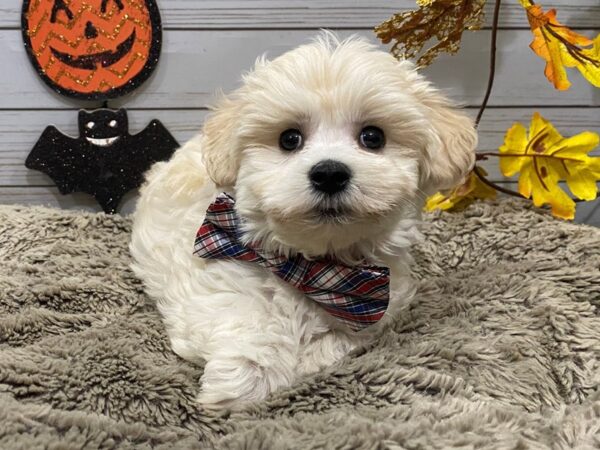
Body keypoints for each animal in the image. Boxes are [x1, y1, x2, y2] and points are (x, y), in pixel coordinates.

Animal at [129, 33, 476, 410]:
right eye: (289, 139)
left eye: (373, 137)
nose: (329, 173)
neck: (314, 268)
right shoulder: (210, 276)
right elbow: (240, 315)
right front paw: (246, 379)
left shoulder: (379, 308)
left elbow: (342, 338)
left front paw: (308, 356)